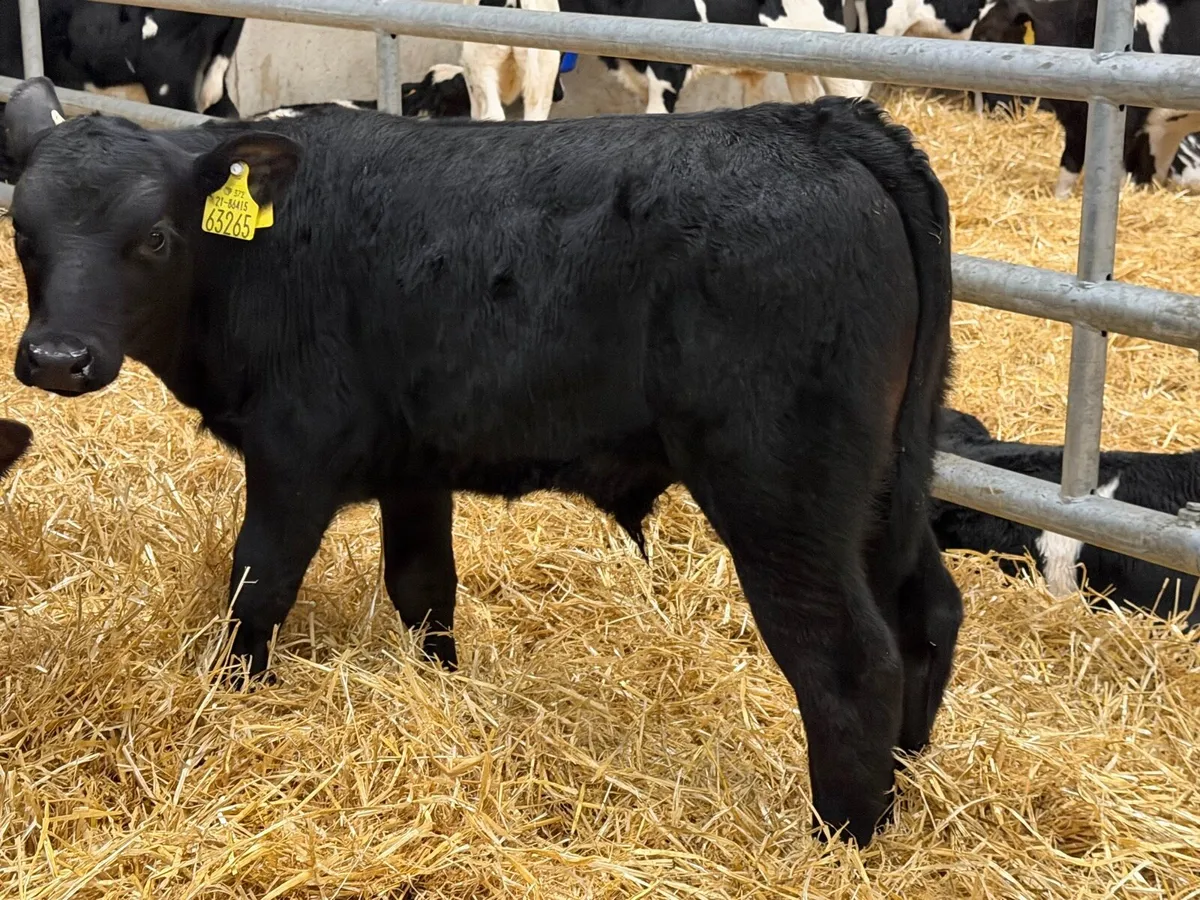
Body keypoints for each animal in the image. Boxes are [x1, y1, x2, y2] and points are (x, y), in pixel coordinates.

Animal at [4, 74, 960, 846]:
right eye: (22, 232)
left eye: (157, 237)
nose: (56, 358)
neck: (255, 256)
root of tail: (825, 123)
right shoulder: (414, 464)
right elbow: (424, 585)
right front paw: (443, 687)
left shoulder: (294, 451)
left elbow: (257, 585)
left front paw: (233, 698)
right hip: (886, 488)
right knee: (928, 612)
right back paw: (904, 786)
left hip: (780, 490)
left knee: (849, 658)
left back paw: (841, 838)